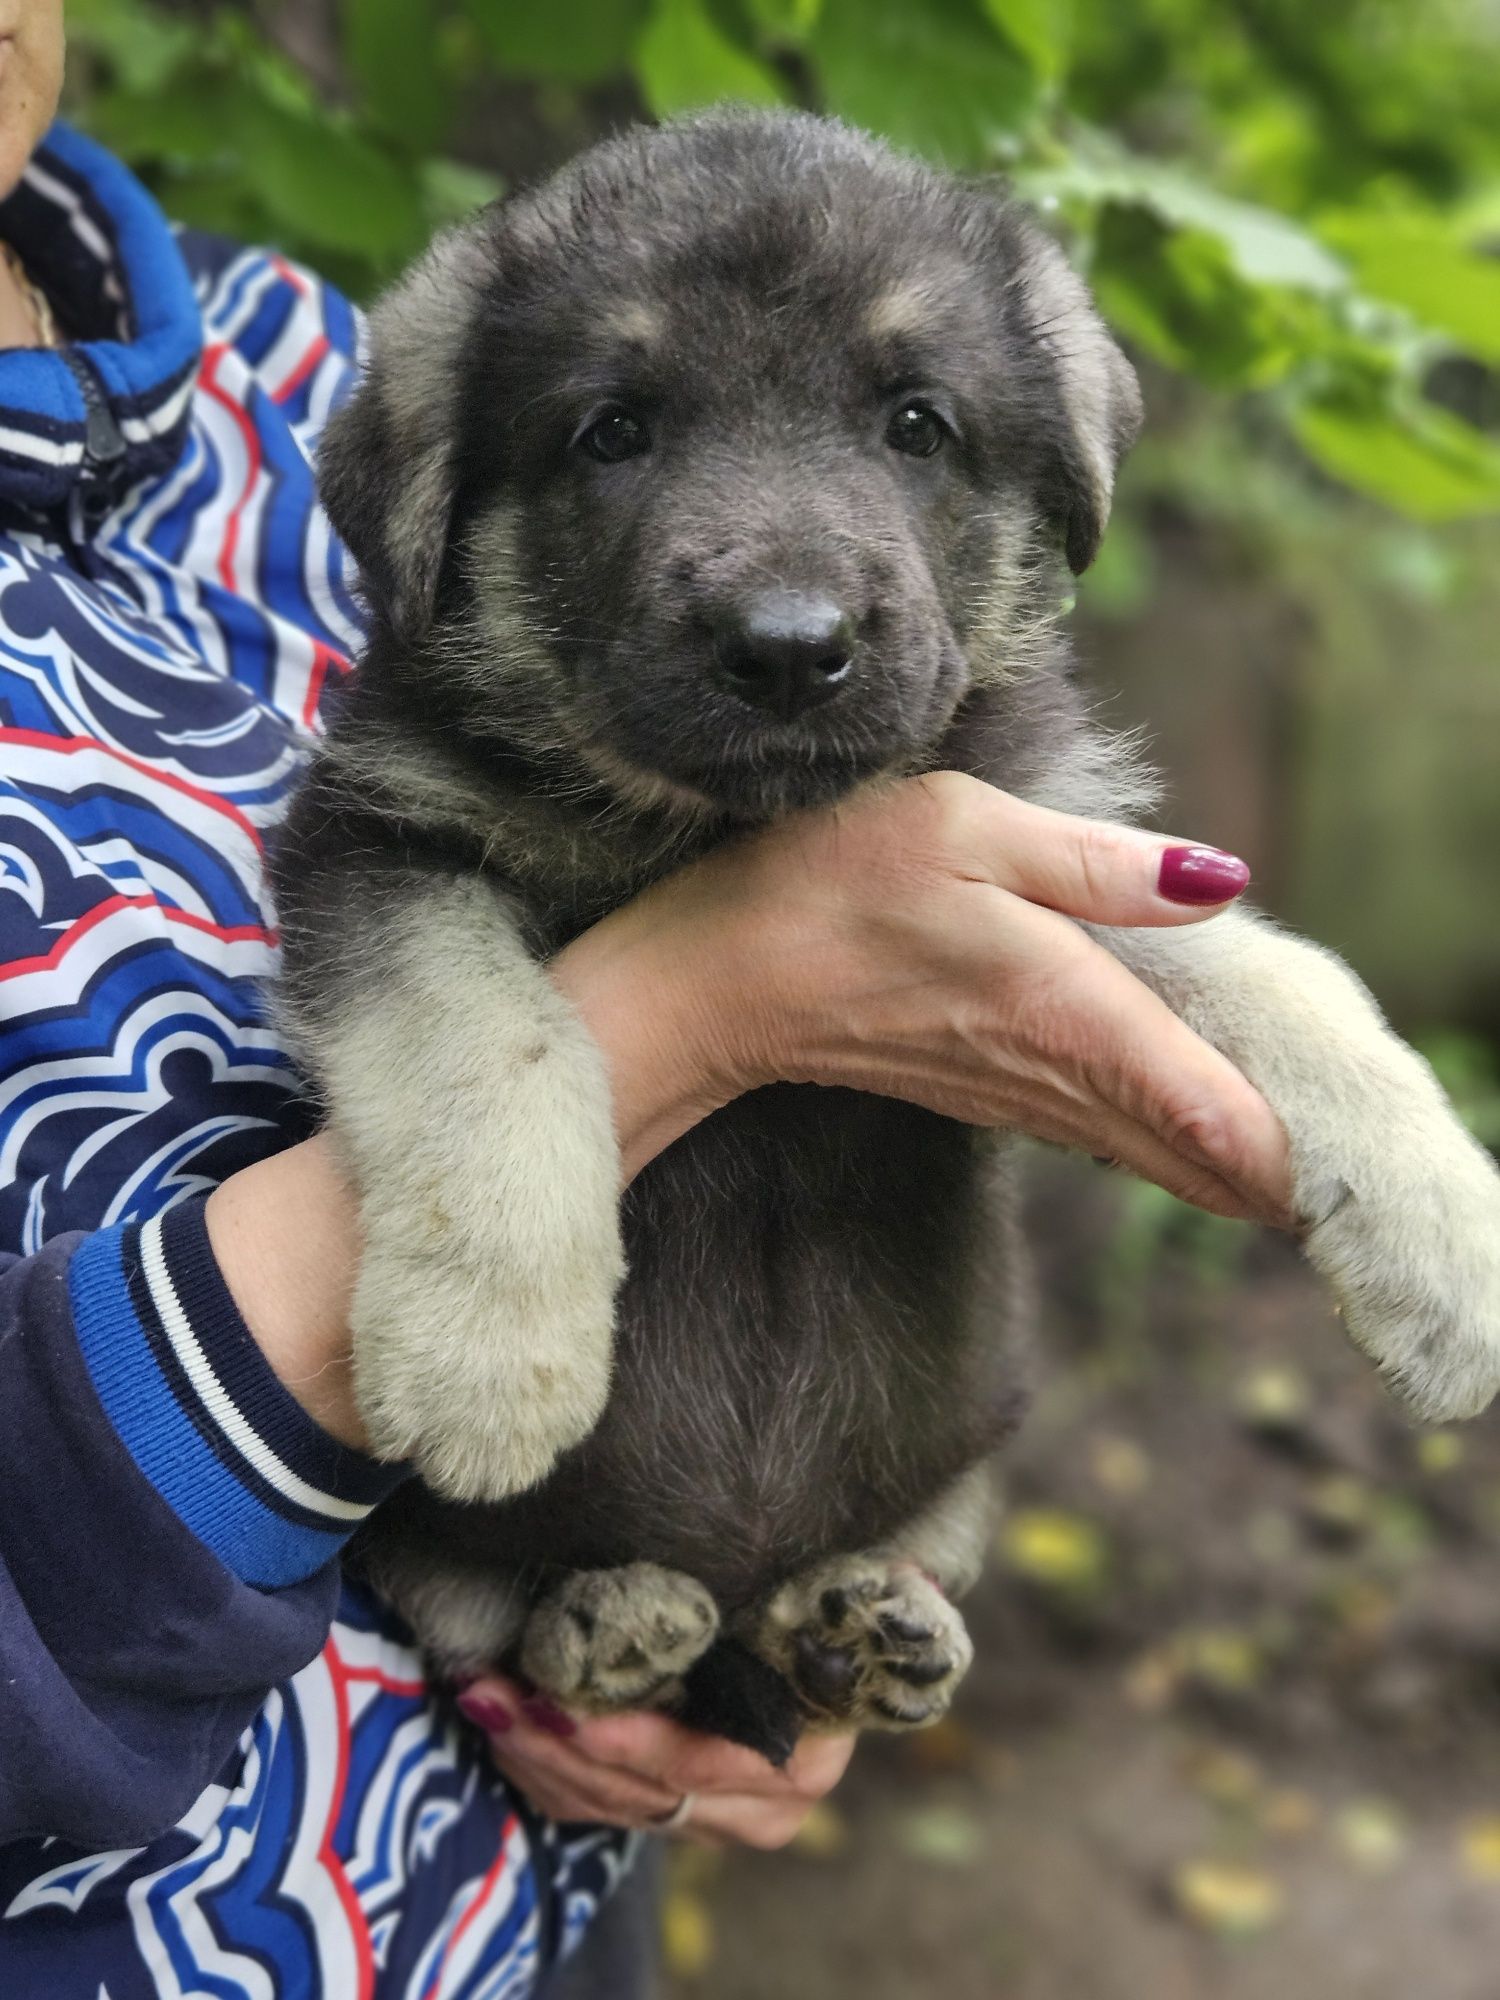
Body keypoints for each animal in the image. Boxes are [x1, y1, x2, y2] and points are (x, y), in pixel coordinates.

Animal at [276, 109, 1500, 1760]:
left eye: (917, 425)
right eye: (611, 432)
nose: (790, 650)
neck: (725, 822)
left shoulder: (1056, 838)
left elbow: (1285, 981)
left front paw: (1447, 1246)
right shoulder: (382, 843)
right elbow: (491, 1042)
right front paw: (490, 1353)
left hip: (961, 1449)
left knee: (869, 1572)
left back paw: (865, 1624)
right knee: (497, 1614)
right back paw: (613, 1620)